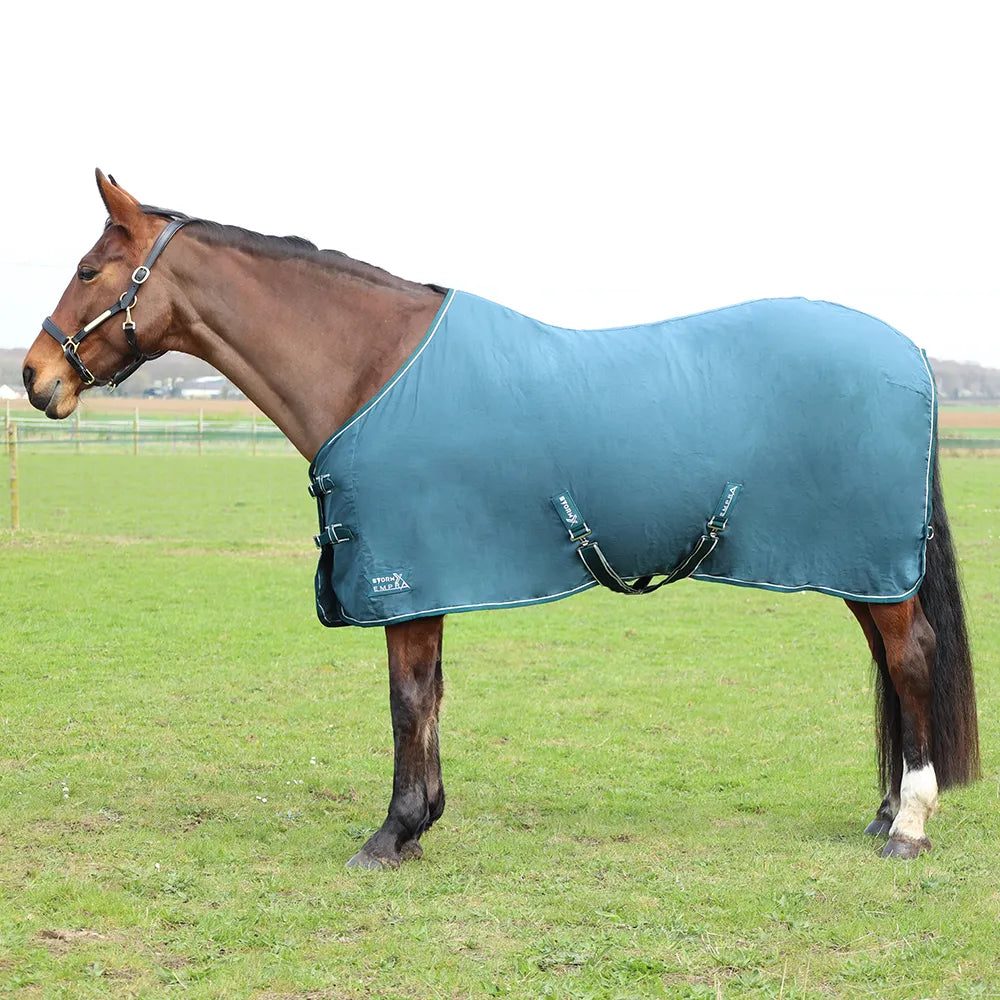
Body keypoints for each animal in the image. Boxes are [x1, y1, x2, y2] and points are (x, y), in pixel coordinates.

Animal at [22, 170, 979, 868]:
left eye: (88, 272)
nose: (36, 376)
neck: (373, 367)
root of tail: (910, 352)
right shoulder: (430, 580)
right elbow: (433, 696)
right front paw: (423, 821)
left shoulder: (406, 577)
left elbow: (408, 700)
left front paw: (393, 832)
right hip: (856, 565)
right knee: (889, 665)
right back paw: (884, 810)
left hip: (869, 562)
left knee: (910, 659)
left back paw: (908, 825)